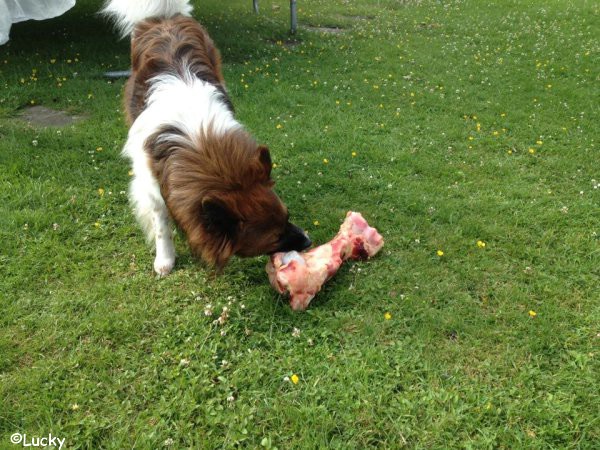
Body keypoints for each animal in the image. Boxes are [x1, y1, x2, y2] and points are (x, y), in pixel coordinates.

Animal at [101, 0, 310, 274]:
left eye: (288, 217)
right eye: (275, 237)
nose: (308, 241)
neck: (201, 142)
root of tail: (166, 18)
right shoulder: (151, 181)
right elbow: (161, 223)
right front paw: (165, 258)